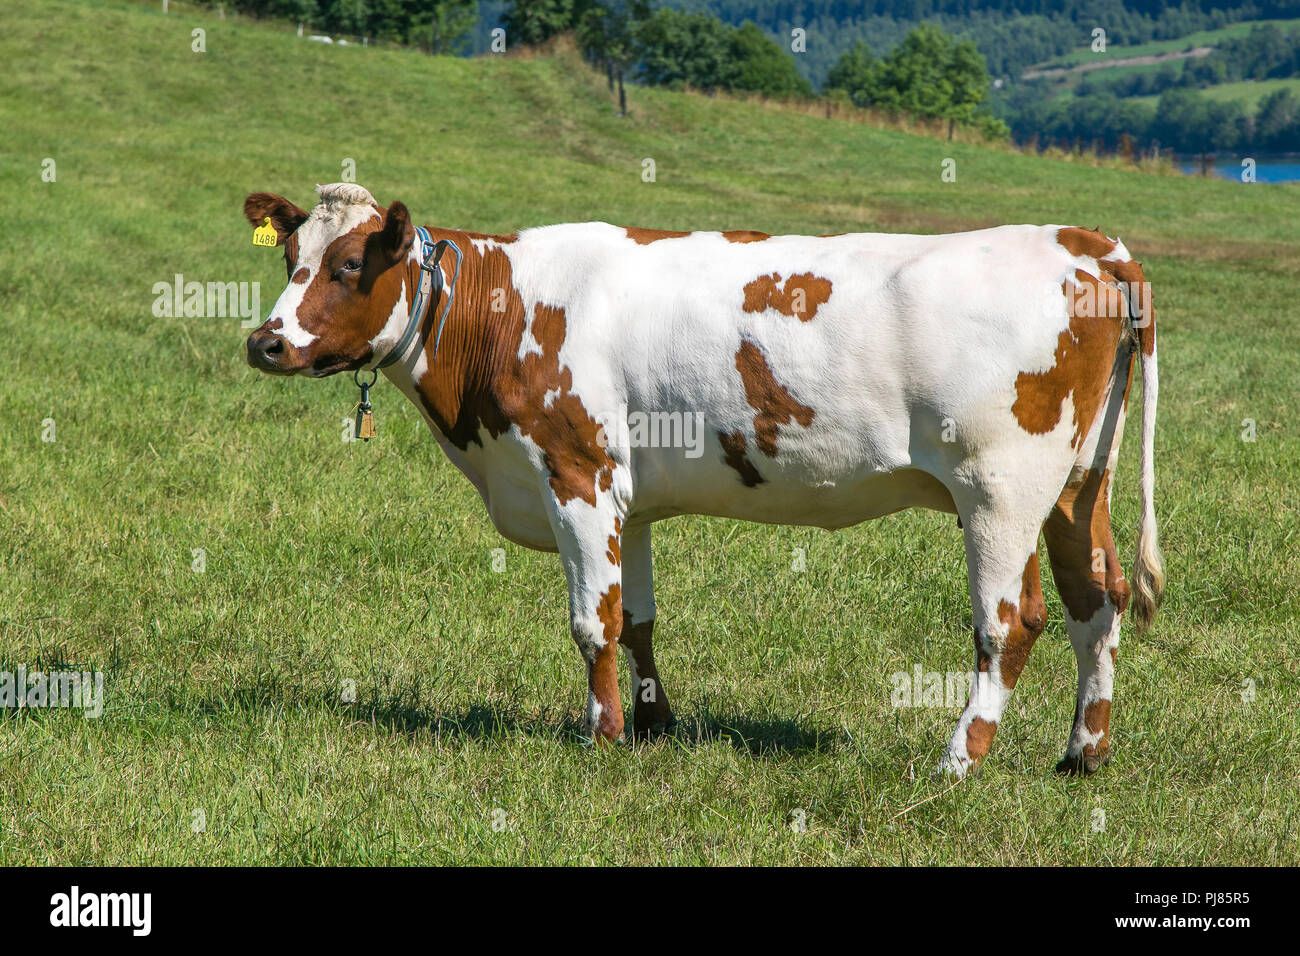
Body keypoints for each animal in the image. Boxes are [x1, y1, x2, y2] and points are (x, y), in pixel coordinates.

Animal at [244, 183, 1170, 780]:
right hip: (1082, 480)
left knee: (1012, 622)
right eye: (291, 255)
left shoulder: (576, 473)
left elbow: (592, 622)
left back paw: (958, 759)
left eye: (352, 264)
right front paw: (656, 727)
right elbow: (637, 619)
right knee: (1097, 600)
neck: (502, 309)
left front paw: (603, 739)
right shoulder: (629, 498)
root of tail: (1083, 241)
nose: (267, 341)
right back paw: (1083, 754)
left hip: (1000, 487)